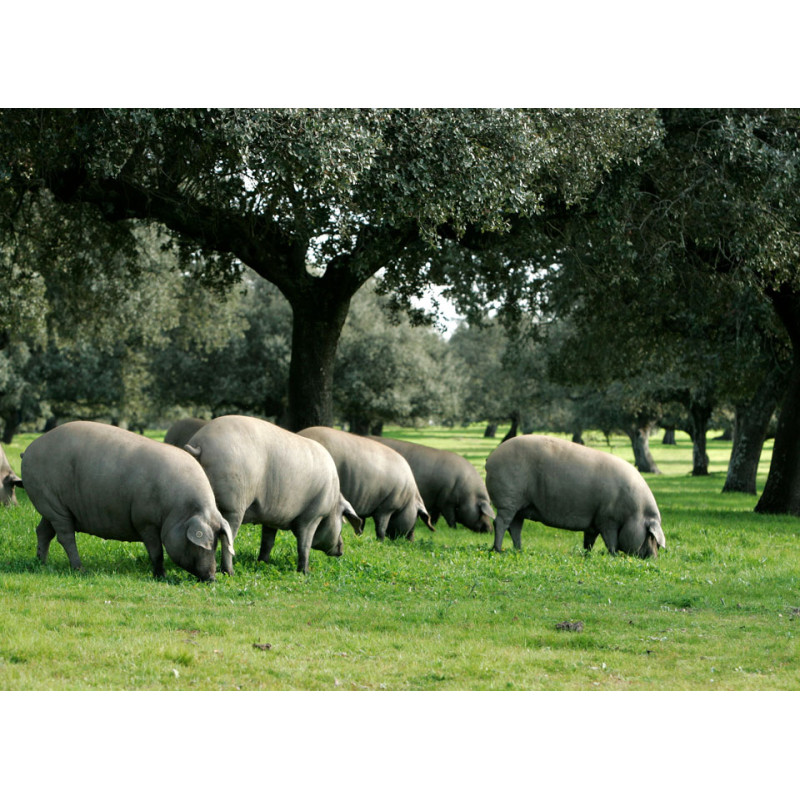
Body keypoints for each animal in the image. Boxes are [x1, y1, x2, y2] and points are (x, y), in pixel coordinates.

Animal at [21, 421, 234, 580]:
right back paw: (80, 569)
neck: (178, 510)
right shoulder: (145, 521)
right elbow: (156, 551)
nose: (212, 578)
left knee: (43, 531)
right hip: (51, 502)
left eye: (217, 543)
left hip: (52, 508)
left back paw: (41, 563)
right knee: (65, 536)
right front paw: (161, 576)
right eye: (206, 544)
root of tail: (29, 450)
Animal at [183, 415, 361, 574]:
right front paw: (304, 572)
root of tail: (199, 444)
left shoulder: (271, 517)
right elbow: (304, 545)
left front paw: (262, 563)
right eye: (343, 521)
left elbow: (267, 542)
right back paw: (229, 572)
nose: (341, 549)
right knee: (227, 538)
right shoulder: (312, 517)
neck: (332, 502)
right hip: (233, 506)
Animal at [299, 426, 435, 541]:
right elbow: (381, 527)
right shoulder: (387, 506)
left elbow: (361, 523)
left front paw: (358, 536)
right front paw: (380, 541)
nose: (411, 540)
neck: (408, 498)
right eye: (417, 517)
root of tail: (300, 434)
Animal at [485, 434, 666, 558]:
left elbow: (589, 540)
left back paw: (519, 550)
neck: (635, 513)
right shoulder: (608, 520)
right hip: (508, 501)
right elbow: (611, 540)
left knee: (515, 527)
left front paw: (588, 554)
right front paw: (613, 555)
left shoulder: (594, 521)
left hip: (520, 507)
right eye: (651, 536)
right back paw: (498, 550)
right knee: (500, 523)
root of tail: (490, 459)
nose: (654, 557)